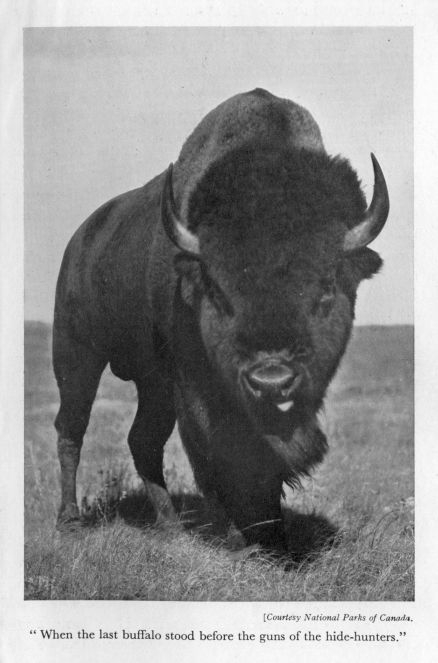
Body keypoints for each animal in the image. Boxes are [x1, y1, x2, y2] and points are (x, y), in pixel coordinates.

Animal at [53, 88, 389, 551]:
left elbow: (264, 460)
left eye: (326, 287)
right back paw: (69, 520)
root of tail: (80, 239)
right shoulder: (193, 384)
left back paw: (171, 525)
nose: (271, 380)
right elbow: (217, 452)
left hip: (151, 383)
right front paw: (238, 534)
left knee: (142, 441)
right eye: (217, 290)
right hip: (76, 354)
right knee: (72, 427)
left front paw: (273, 534)